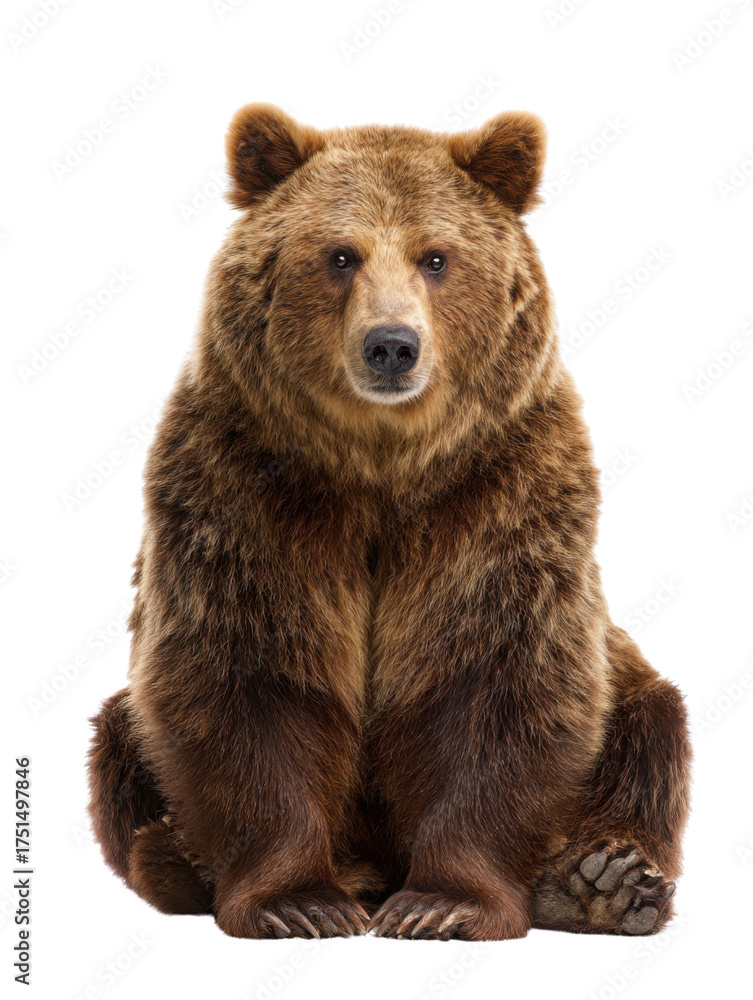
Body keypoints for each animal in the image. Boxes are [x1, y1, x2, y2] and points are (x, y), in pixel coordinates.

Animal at [87, 104, 692, 941]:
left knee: (650, 726)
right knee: (120, 732)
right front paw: (297, 902)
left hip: (623, 682)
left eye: (436, 258)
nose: (391, 346)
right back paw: (180, 858)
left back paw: (602, 879)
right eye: (339, 255)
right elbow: (248, 680)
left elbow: (494, 682)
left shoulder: (498, 500)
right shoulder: (245, 494)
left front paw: (445, 904)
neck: (380, 466)